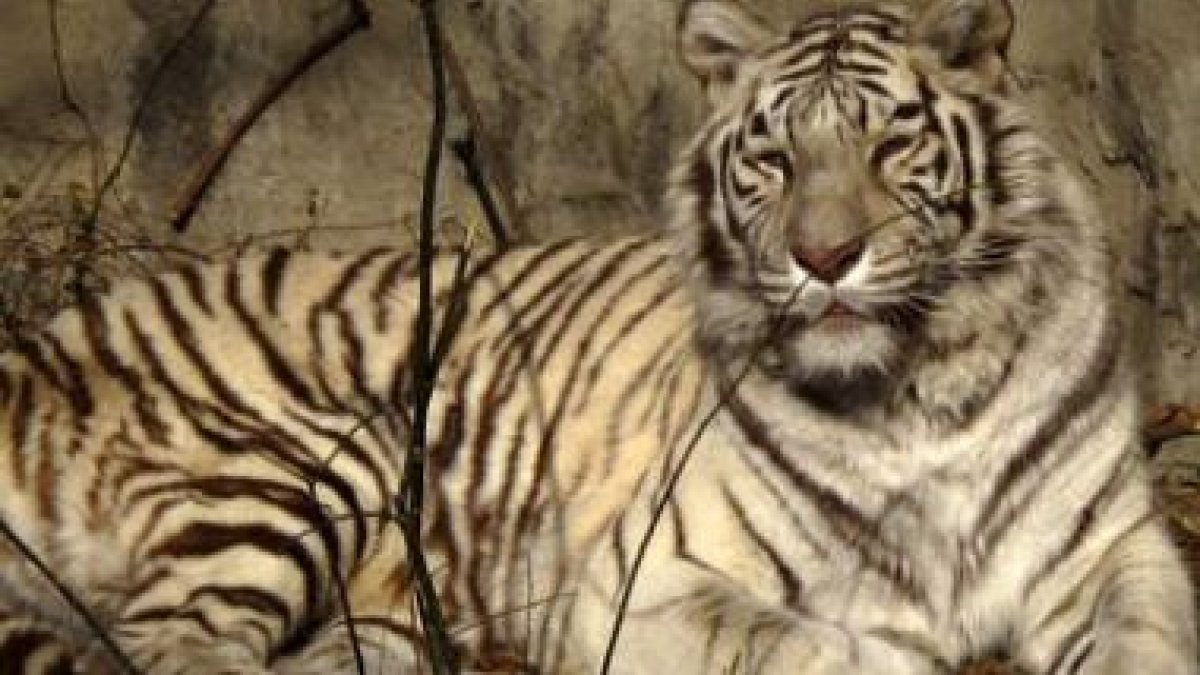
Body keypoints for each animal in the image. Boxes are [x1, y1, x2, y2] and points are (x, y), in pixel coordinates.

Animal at [0, 0, 1195, 672]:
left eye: (891, 143)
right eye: (773, 159)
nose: (824, 258)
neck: (919, 386)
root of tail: (48, 331)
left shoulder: (1114, 552)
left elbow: (1149, 643)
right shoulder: (649, 580)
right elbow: (812, 646)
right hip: (300, 461)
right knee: (170, 651)